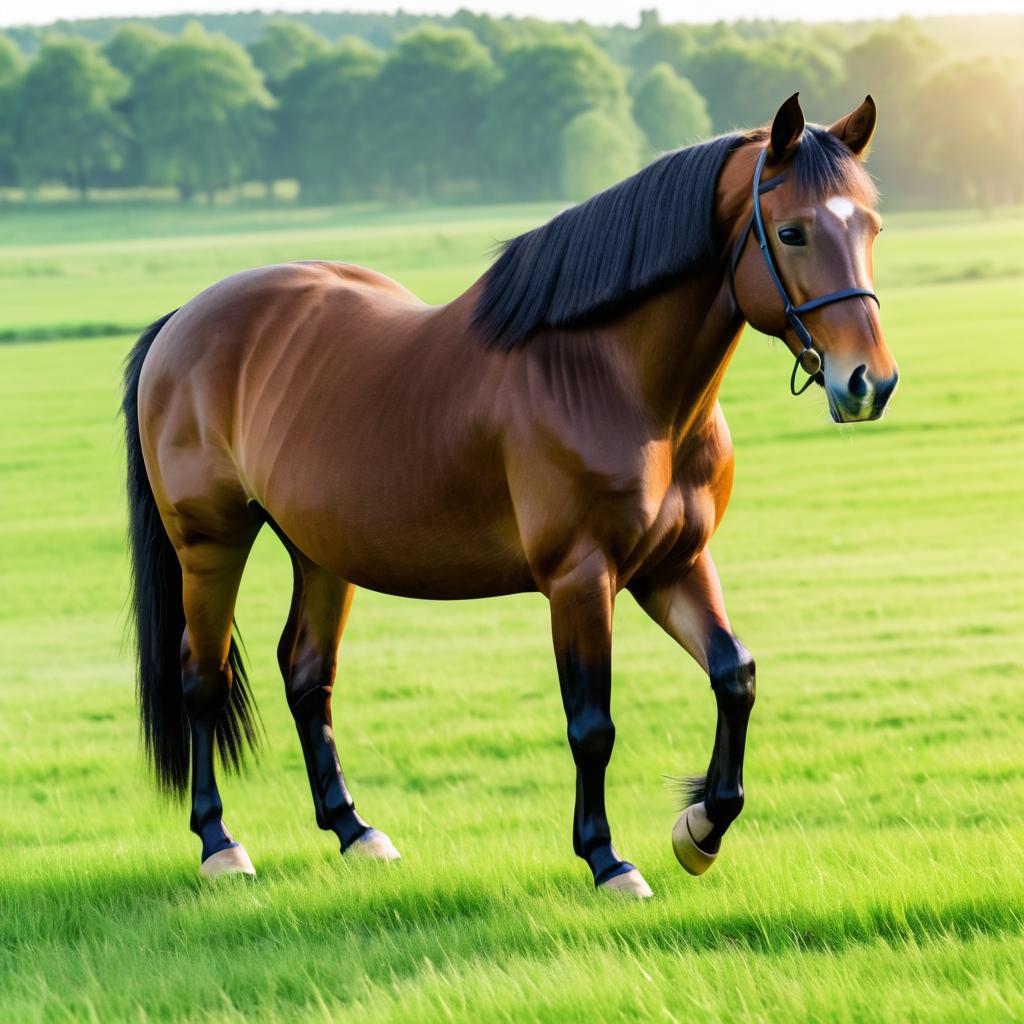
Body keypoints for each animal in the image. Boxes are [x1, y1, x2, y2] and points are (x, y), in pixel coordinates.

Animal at [123, 94, 897, 897]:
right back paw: (220, 843)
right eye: (792, 231)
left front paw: (701, 828)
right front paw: (606, 858)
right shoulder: (579, 580)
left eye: (872, 227)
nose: (868, 382)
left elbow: (734, 675)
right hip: (210, 544)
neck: (609, 377)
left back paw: (354, 830)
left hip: (321, 553)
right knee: (202, 679)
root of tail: (182, 321)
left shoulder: (673, 565)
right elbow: (592, 724)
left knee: (307, 675)